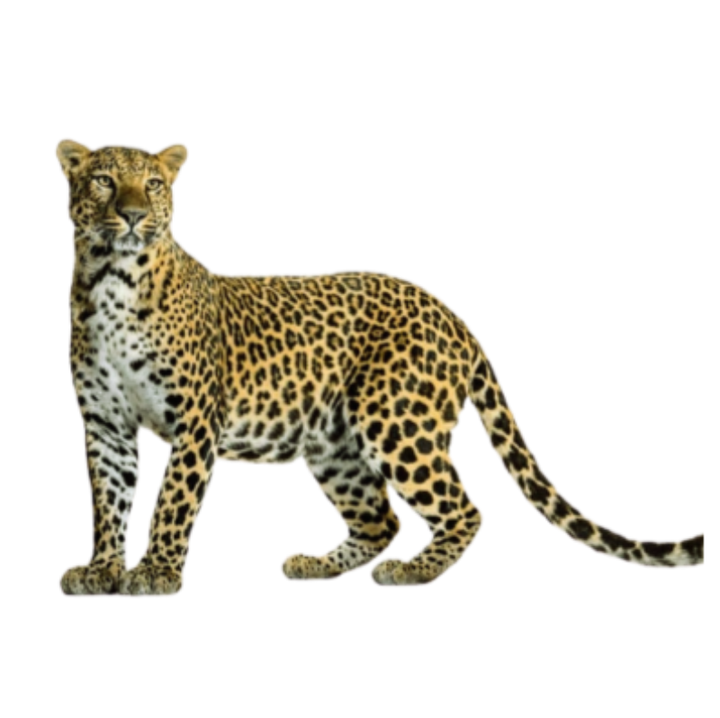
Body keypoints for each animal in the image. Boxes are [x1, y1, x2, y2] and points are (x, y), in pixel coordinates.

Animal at [53, 136, 707, 598]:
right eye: (105, 181)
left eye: (153, 184)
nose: (132, 214)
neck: (109, 280)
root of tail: (453, 313)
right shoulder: (106, 424)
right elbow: (109, 499)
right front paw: (103, 570)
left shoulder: (193, 422)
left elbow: (172, 504)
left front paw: (155, 574)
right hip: (333, 440)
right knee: (380, 519)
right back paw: (318, 565)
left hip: (394, 419)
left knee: (465, 510)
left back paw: (411, 572)